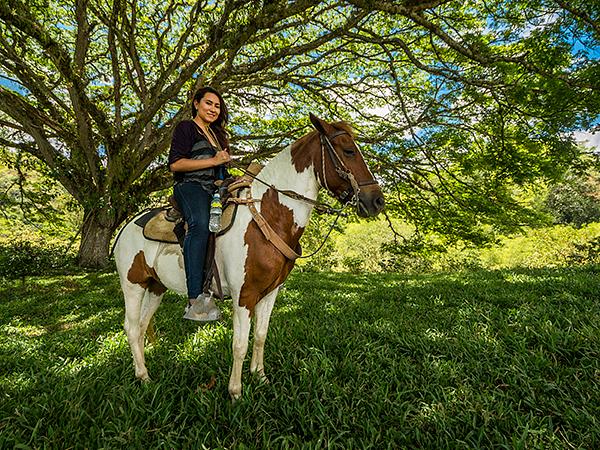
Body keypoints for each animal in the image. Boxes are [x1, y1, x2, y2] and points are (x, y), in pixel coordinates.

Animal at [112, 114, 384, 400]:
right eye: (349, 151)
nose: (377, 201)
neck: (269, 217)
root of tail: (126, 228)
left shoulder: (270, 292)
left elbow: (261, 335)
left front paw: (261, 377)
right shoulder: (244, 295)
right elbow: (239, 344)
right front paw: (236, 392)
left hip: (155, 287)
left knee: (143, 325)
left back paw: (145, 370)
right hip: (132, 285)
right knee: (131, 327)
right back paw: (143, 376)